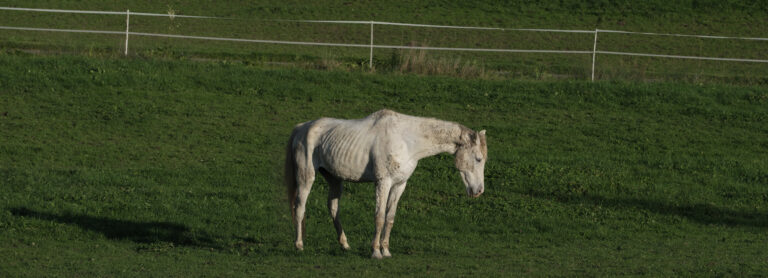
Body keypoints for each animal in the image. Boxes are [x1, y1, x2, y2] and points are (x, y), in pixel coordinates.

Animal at [282, 108, 486, 258]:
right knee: (299, 207)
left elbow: (390, 218)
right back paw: (299, 245)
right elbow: (379, 217)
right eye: (478, 159)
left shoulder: (399, 184)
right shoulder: (383, 183)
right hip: (306, 177)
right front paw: (375, 252)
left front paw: (386, 250)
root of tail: (302, 128)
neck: (407, 140)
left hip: (334, 179)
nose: (478, 191)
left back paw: (344, 244)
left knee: (333, 208)